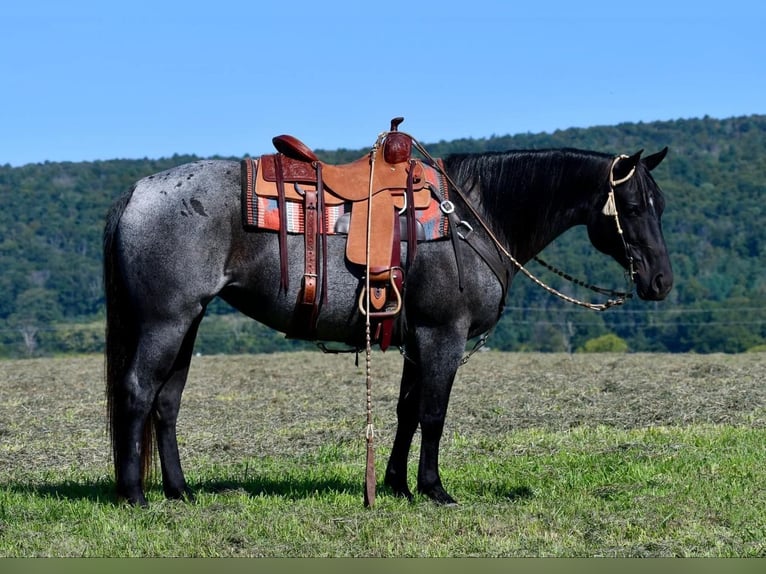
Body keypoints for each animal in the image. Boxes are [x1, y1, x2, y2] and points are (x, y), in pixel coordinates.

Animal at [103, 136, 672, 508]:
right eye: (633, 205)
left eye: (660, 204)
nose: (661, 281)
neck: (473, 214)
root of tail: (136, 192)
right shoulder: (443, 335)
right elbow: (434, 414)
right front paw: (434, 488)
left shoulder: (416, 338)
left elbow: (406, 411)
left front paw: (396, 484)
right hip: (166, 321)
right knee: (137, 392)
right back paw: (135, 497)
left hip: (189, 321)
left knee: (167, 402)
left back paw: (180, 491)